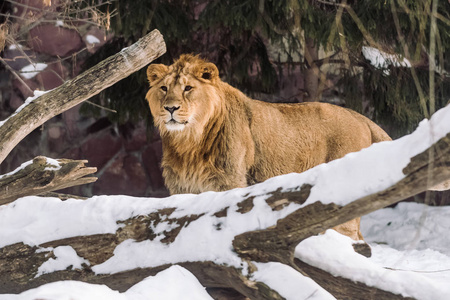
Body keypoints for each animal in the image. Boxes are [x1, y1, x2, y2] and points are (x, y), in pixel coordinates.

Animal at [145, 54, 390, 241]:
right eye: (164, 88)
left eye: (188, 88)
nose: (170, 108)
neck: (189, 142)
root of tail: (358, 116)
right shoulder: (182, 188)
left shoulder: (229, 183)